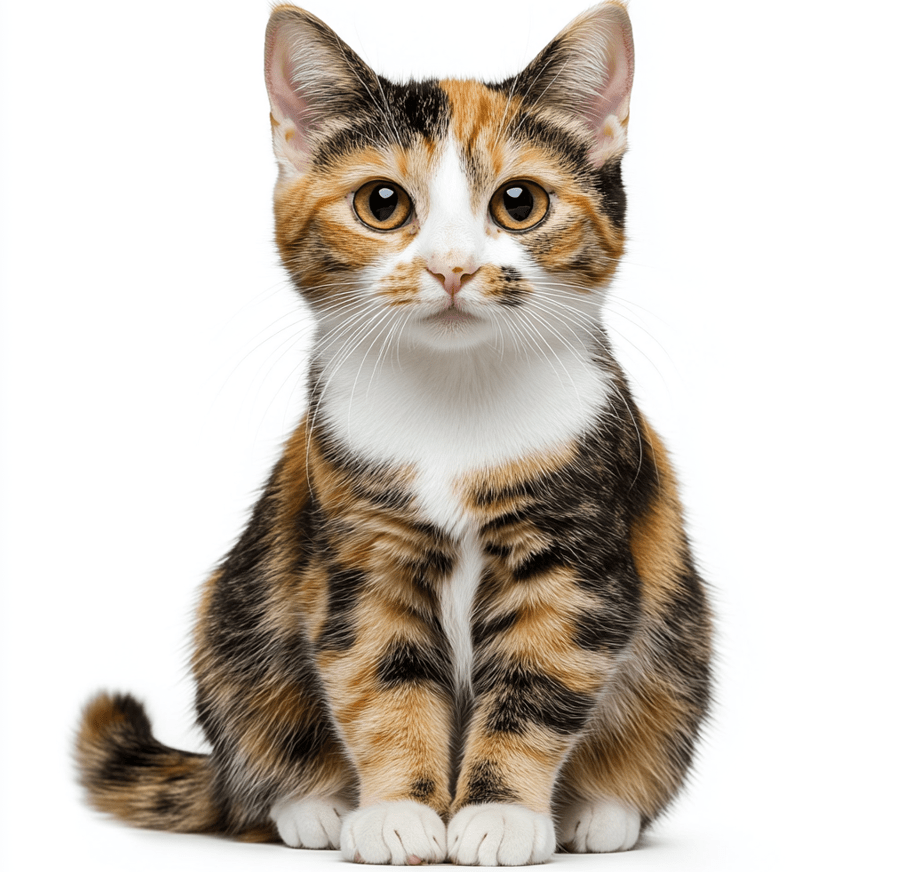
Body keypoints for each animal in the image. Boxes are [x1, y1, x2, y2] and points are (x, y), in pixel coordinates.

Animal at [76, 3, 712, 864]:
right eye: (382, 204)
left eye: (520, 204)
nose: (451, 267)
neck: (455, 400)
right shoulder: (362, 554)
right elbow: (380, 678)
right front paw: (398, 811)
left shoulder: (573, 552)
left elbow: (538, 680)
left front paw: (499, 814)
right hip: (236, 628)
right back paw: (310, 804)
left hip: (677, 655)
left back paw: (598, 811)